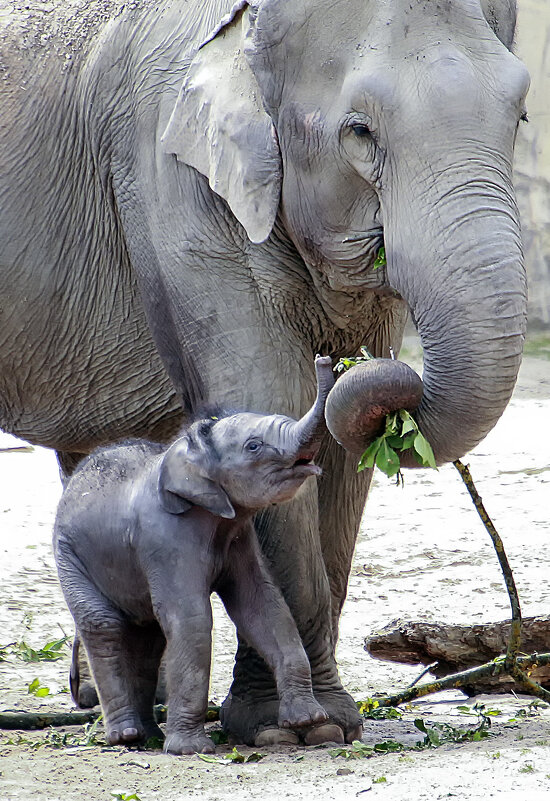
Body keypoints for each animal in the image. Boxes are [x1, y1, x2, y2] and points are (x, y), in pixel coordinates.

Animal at [54, 354, 334, 752]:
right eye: (253, 446)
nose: (324, 359)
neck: (189, 454)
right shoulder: (165, 537)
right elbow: (192, 618)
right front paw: (191, 750)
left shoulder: (239, 538)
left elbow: (263, 607)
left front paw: (309, 720)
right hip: (69, 555)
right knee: (104, 626)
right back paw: (125, 736)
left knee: (149, 638)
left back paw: (149, 736)